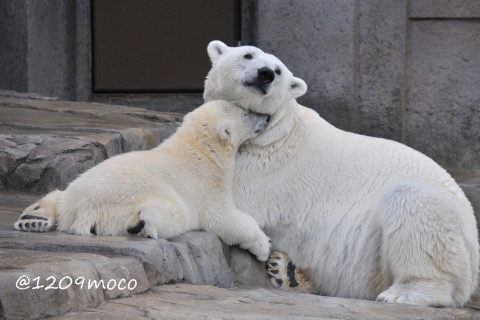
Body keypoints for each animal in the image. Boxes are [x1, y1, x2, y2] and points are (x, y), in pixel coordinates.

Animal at [13, 100, 272, 260]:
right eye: (246, 112)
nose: (267, 116)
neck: (200, 147)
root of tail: (79, 211)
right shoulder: (207, 181)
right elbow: (224, 217)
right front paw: (264, 246)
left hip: (79, 185)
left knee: (59, 194)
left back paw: (33, 219)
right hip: (130, 198)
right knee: (171, 213)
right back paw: (141, 224)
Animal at [203, 40, 480, 308]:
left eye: (279, 70)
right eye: (248, 55)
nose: (265, 74)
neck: (274, 130)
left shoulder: (266, 164)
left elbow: (228, 199)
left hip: (429, 233)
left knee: (414, 206)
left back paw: (402, 294)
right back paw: (285, 271)